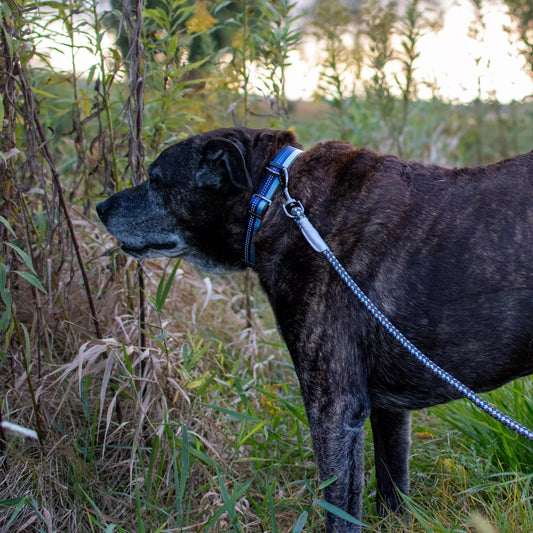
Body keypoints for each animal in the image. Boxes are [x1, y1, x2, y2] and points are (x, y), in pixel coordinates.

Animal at [96, 127, 532, 528]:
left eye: (155, 179)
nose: (100, 207)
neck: (277, 202)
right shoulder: (389, 411)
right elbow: (392, 495)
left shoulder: (334, 406)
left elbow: (340, 510)